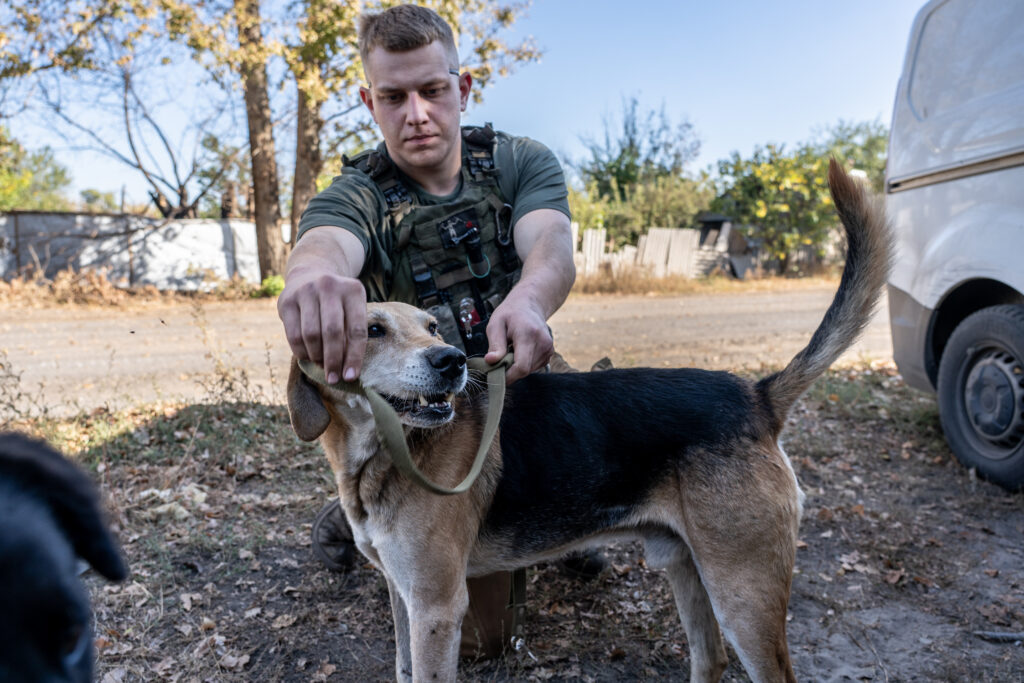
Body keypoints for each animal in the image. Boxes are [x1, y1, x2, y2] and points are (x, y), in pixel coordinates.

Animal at [286, 161, 888, 683]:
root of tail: (756, 395)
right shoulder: (402, 595)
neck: (383, 454)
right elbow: (402, 668)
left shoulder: (435, 606)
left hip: (743, 592)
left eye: (433, 327)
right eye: (372, 330)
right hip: (687, 566)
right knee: (710, 658)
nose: (452, 361)